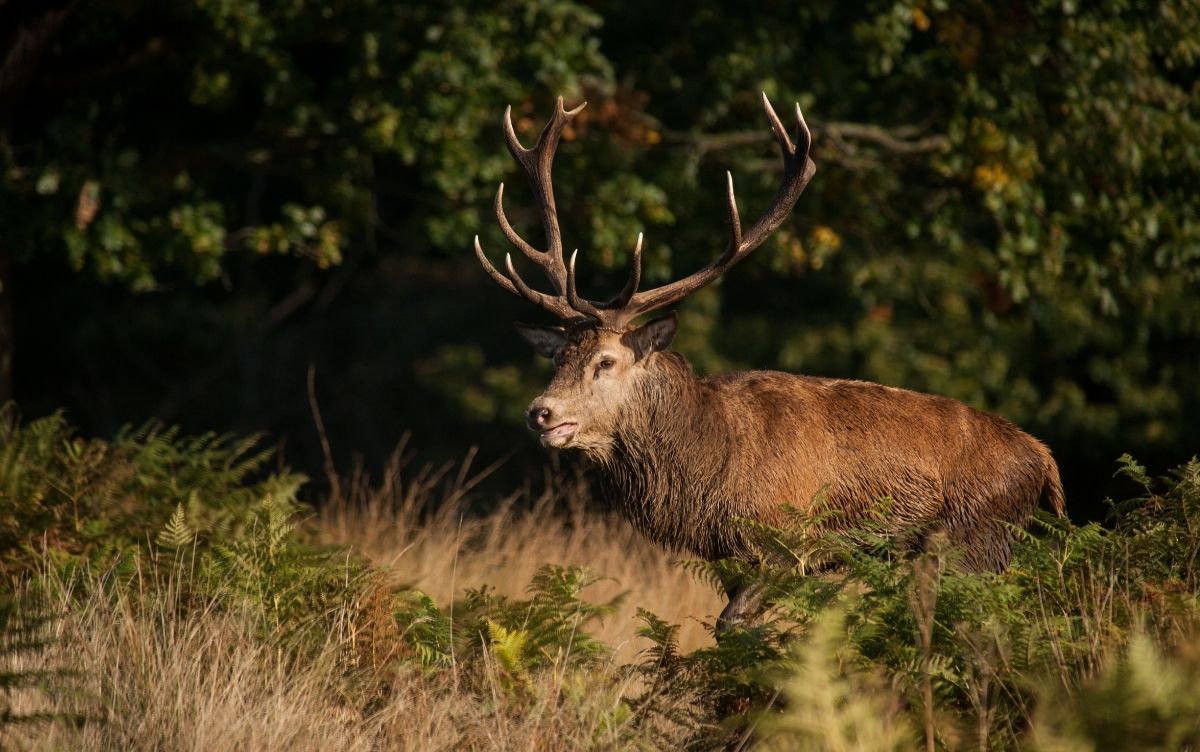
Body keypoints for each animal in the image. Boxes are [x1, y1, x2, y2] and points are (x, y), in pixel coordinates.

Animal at [472, 94, 1065, 630]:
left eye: (607, 361)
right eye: (557, 356)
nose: (540, 411)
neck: (708, 468)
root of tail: (1044, 460)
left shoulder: (786, 543)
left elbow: (735, 626)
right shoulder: (729, 558)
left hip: (977, 538)